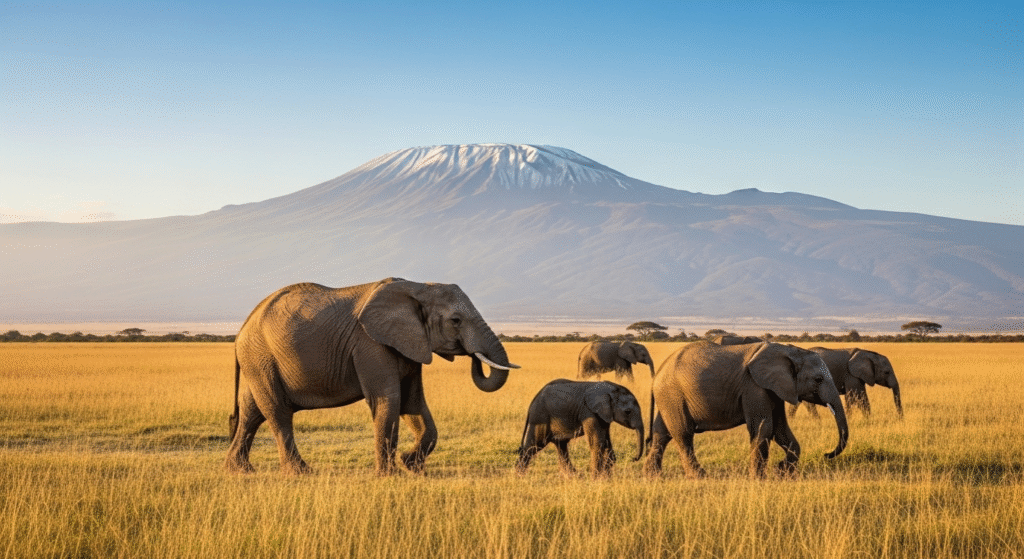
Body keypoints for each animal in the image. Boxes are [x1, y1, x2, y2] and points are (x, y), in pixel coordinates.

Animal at [224, 277, 519, 476]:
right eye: (456, 320)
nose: (474, 357)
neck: (418, 287)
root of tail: (242, 329)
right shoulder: (370, 344)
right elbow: (388, 400)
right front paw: (392, 475)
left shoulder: (409, 344)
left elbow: (413, 404)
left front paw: (411, 466)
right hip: (261, 357)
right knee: (278, 412)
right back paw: (301, 473)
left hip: (258, 361)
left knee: (252, 412)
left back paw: (240, 470)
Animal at [515, 379, 644, 476]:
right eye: (628, 412)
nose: (633, 458)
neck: (610, 388)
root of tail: (533, 400)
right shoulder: (589, 412)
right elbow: (597, 442)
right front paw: (596, 478)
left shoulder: (603, 414)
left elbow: (606, 441)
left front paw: (606, 474)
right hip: (540, 417)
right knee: (534, 445)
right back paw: (519, 475)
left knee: (561, 446)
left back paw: (573, 475)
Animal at [644, 340, 849, 478]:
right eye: (818, 380)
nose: (826, 454)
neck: (789, 350)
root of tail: (657, 374)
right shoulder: (754, 386)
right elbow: (763, 428)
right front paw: (759, 480)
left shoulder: (775, 388)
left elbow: (780, 430)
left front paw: (782, 473)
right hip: (673, 395)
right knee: (683, 434)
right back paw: (700, 477)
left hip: (669, 398)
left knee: (661, 433)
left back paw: (653, 476)